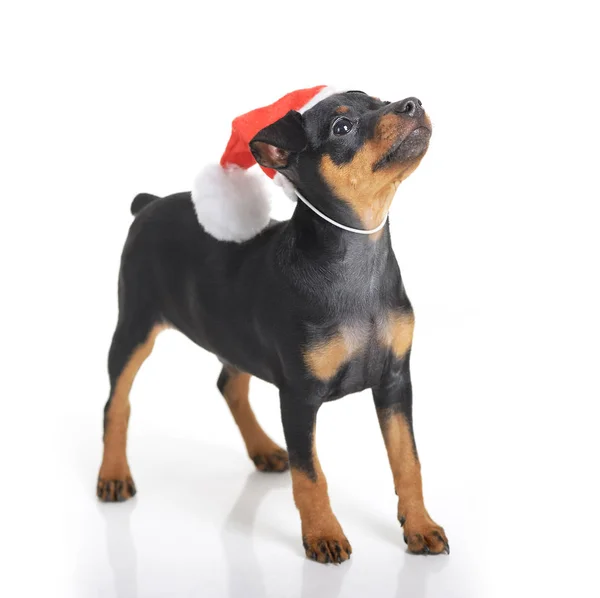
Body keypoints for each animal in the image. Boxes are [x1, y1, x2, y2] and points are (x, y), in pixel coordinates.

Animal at [96, 89, 448, 564]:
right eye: (341, 127)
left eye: (382, 99)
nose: (412, 103)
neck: (359, 264)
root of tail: (149, 204)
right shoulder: (299, 395)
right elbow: (310, 473)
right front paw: (323, 535)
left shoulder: (395, 380)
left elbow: (408, 460)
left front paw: (421, 526)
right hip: (134, 324)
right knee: (116, 403)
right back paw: (113, 474)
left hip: (232, 335)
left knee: (229, 384)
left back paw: (262, 449)